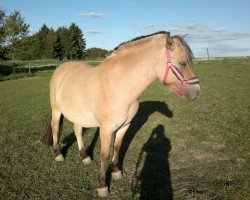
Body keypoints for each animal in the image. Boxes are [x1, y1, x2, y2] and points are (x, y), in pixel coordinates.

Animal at [42, 31, 199, 197]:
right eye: (182, 63)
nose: (196, 92)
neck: (119, 85)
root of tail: (61, 68)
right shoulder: (106, 128)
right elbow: (105, 154)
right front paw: (102, 185)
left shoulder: (125, 125)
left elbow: (117, 147)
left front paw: (116, 172)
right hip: (57, 110)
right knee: (55, 129)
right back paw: (58, 154)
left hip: (78, 114)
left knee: (77, 131)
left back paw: (84, 157)